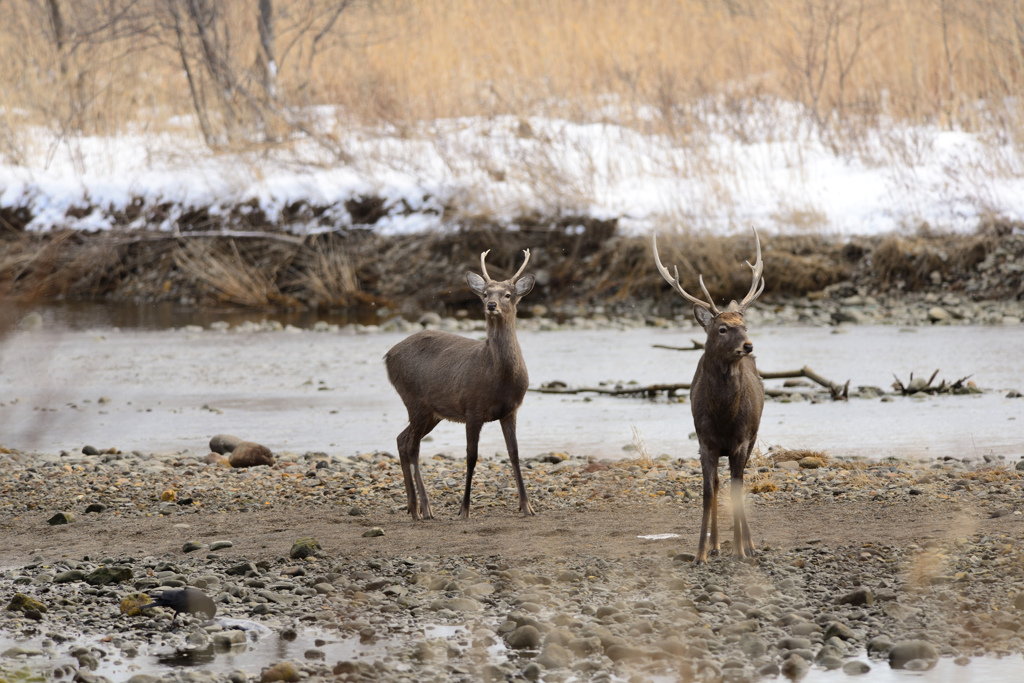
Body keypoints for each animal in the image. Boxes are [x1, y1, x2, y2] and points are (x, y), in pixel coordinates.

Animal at [380, 248, 532, 520]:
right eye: (485, 293)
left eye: (508, 294)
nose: (491, 305)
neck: (499, 379)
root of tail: (388, 356)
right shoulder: (472, 408)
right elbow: (471, 457)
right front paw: (464, 509)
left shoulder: (511, 410)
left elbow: (514, 454)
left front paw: (527, 506)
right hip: (414, 400)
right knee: (412, 446)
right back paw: (424, 508)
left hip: (432, 413)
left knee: (401, 439)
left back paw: (413, 507)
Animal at [651, 227, 765, 565]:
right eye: (723, 328)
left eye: (745, 324)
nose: (748, 345)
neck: (725, 416)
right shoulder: (705, 442)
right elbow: (706, 493)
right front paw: (700, 552)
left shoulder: (741, 440)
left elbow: (737, 492)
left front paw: (740, 550)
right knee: (716, 484)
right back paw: (715, 545)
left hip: (754, 436)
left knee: (738, 482)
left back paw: (749, 545)